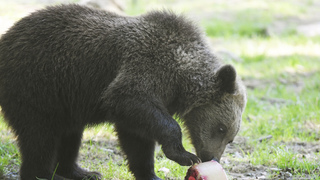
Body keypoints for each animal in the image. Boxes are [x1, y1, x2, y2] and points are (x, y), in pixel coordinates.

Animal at [0, 3, 246, 180]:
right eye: (221, 128)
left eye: (231, 138)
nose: (211, 157)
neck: (178, 78)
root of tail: (6, 37)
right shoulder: (145, 68)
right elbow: (128, 99)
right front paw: (184, 154)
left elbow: (137, 138)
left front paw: (150, 174)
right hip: (36, 87)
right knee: (40, 136)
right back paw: (45, 174)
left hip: (65, 100)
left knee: (69, 136)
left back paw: (82, 172)